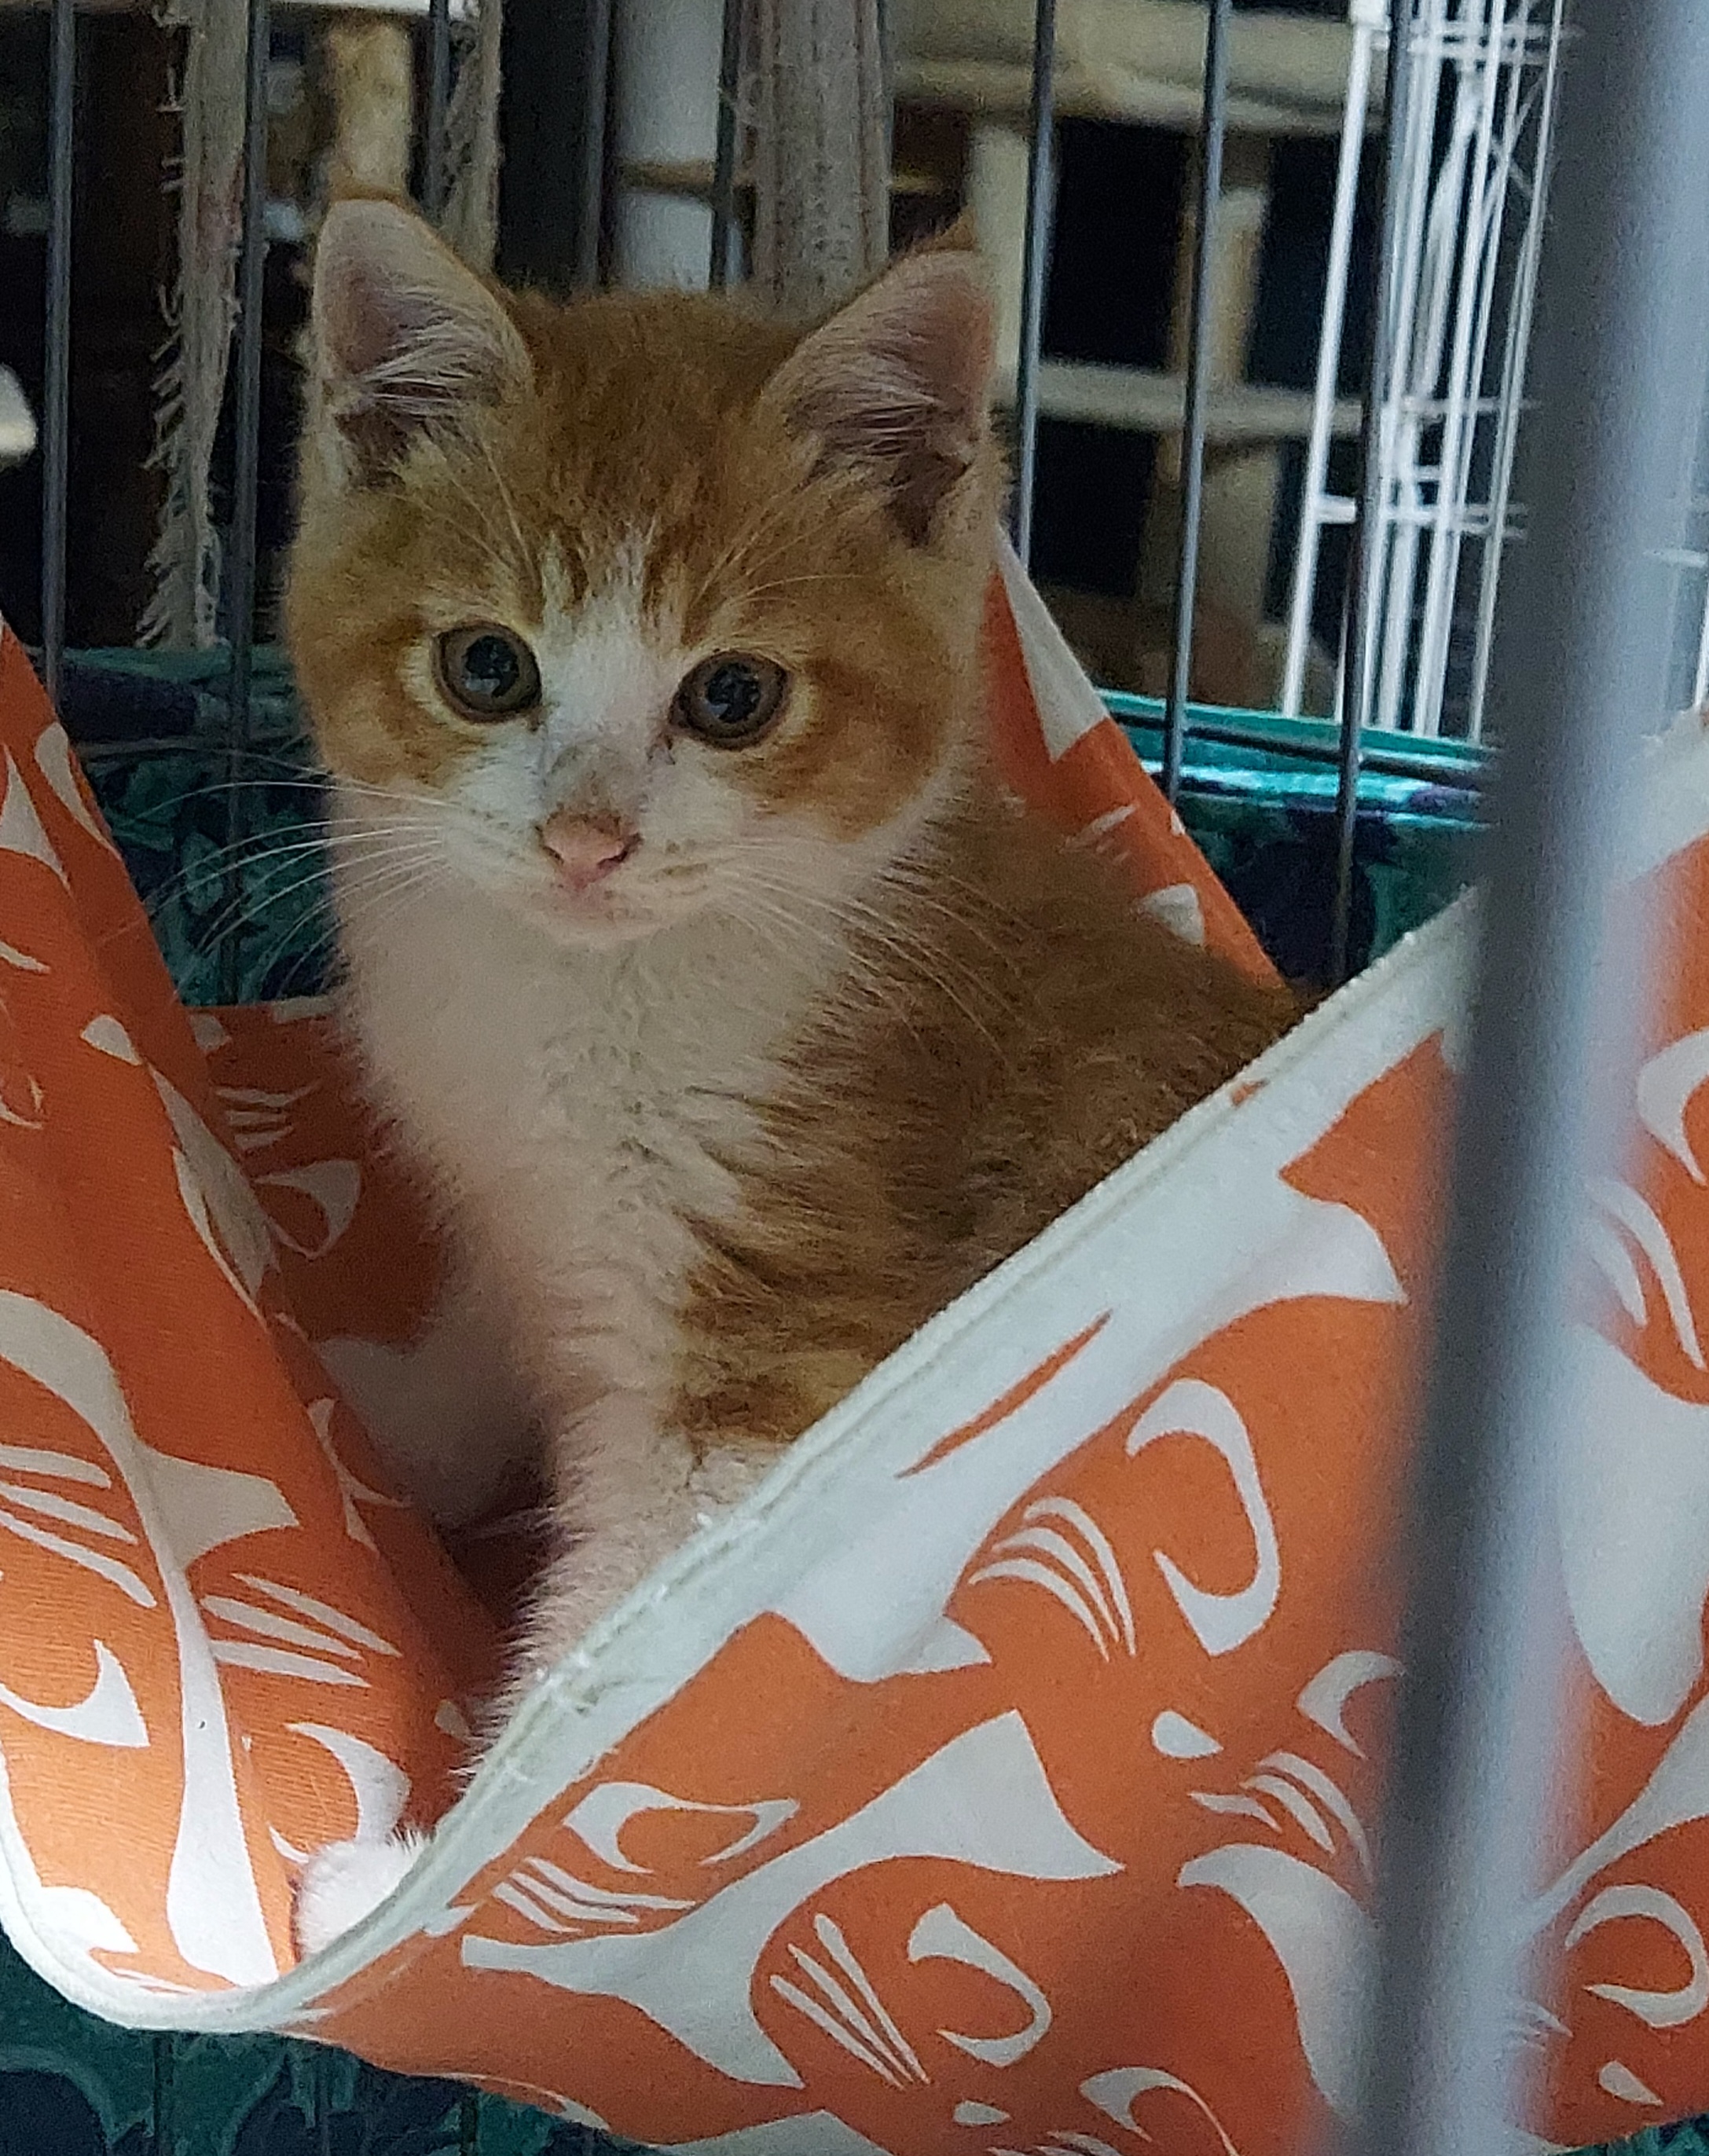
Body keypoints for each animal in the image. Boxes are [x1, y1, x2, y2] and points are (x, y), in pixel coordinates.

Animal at [285, 195, 1299, 1953]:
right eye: (486, 669)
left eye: (733, 696)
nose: (587, 836)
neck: (576, 994)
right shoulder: (523, 1190)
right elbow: (495, 1317)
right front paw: (397, 1411)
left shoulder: (772, 1335)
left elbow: (624, 1652)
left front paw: (417, 1884)